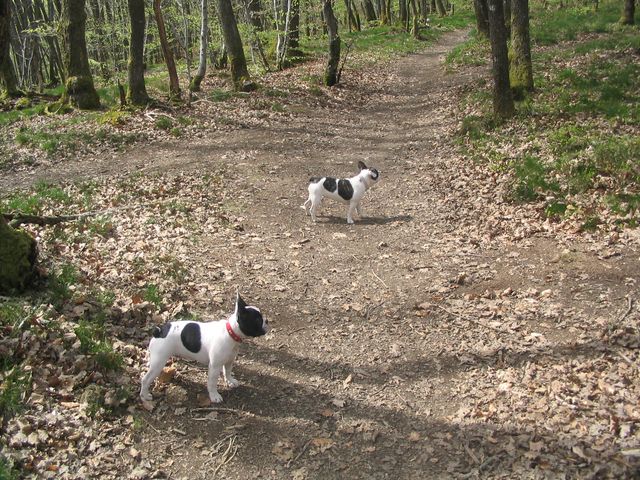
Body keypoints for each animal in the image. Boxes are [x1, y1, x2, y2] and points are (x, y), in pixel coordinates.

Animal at [140, 294, 270, 404]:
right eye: (258, 320)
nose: (267, 320)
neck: (230, 332)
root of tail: (159, 331)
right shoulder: (214, 366)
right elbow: (212, 383)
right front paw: (214, 396)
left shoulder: (229, 360)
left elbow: (227, 371)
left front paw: (230, 381)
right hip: (159, 361)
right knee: (145, 379)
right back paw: (145, 396)